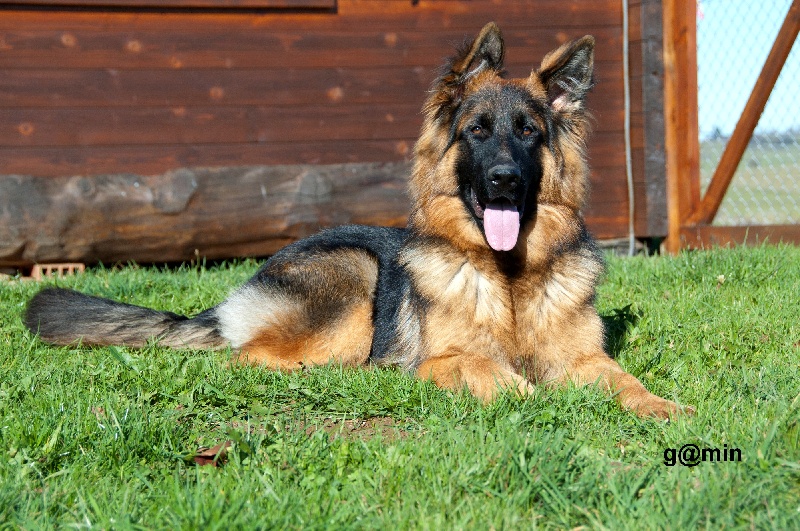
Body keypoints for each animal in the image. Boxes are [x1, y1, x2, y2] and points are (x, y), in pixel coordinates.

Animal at [23, 23, 688, 420]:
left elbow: (625, 382)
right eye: (477, 131)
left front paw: (667, 408)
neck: (506, 278)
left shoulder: (586, 361)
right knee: (250, 356)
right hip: (354, 277)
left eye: (528, 133)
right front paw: (533, 402)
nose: (503, 180)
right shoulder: (442, 361)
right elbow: (488, 370)